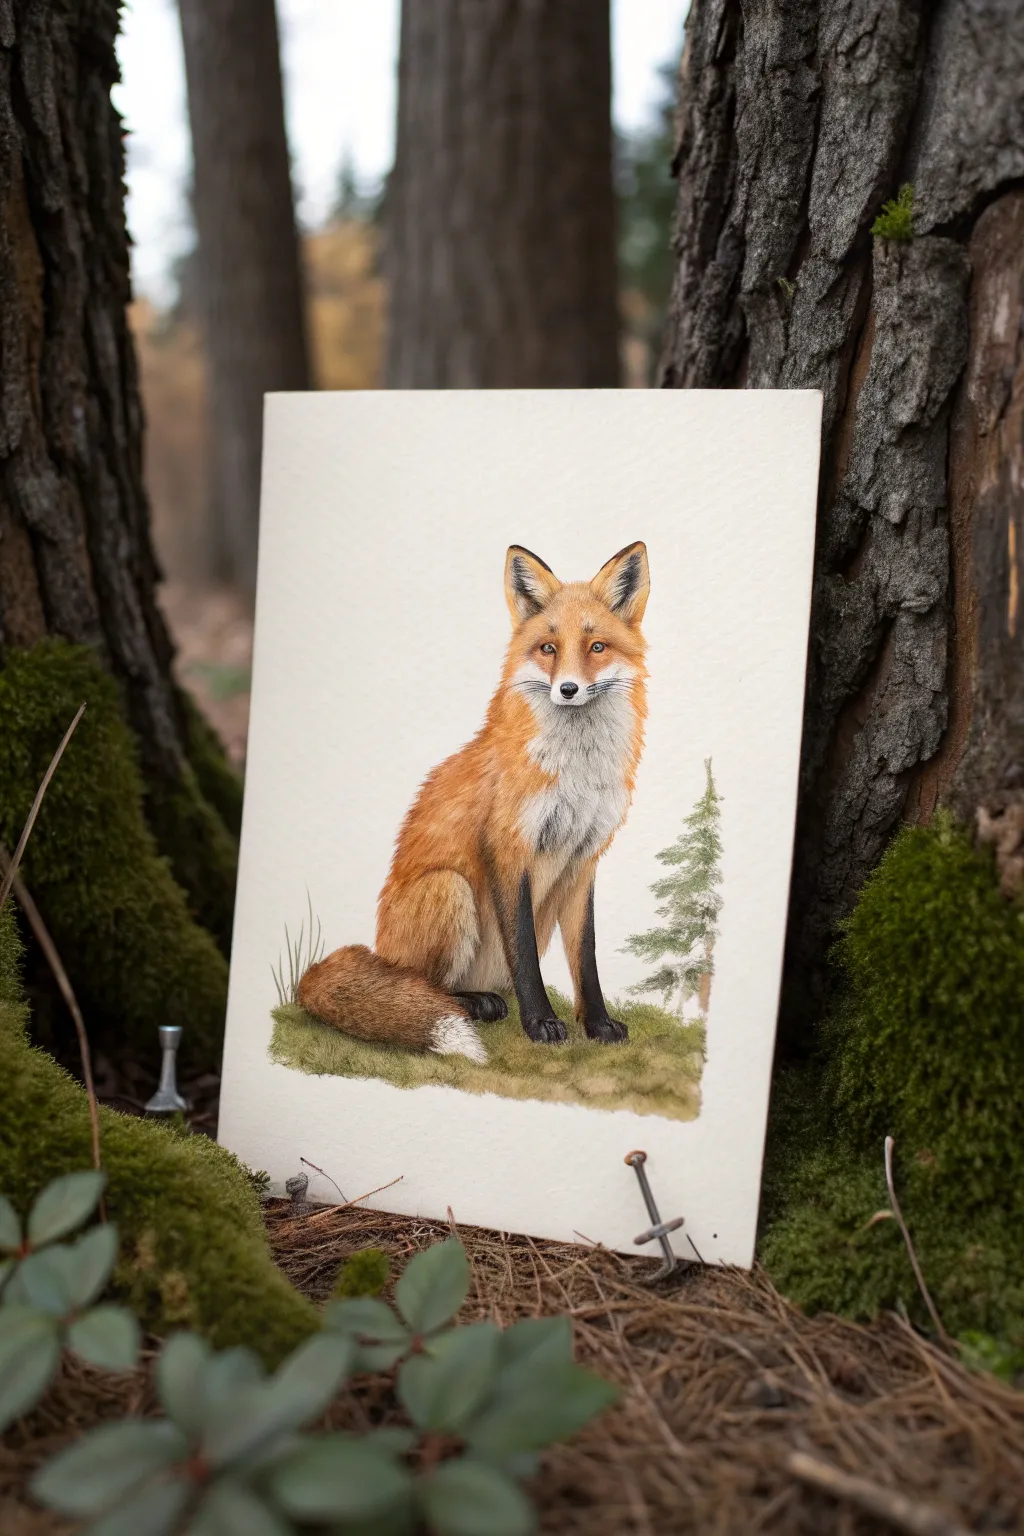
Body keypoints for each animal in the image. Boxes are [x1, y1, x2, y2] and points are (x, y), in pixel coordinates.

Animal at [297, 540, 650, 1064]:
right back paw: (474, 1003)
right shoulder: (509, 848)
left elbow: (585, 959)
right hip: (451, 888)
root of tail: (377, 951)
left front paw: (598, 1024)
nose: (567, 689)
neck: (576, 773)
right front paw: (540, 1023)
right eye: (548, 648)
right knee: (422, 986)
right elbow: (523, 953)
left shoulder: (584, 859)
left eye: (597, 647)